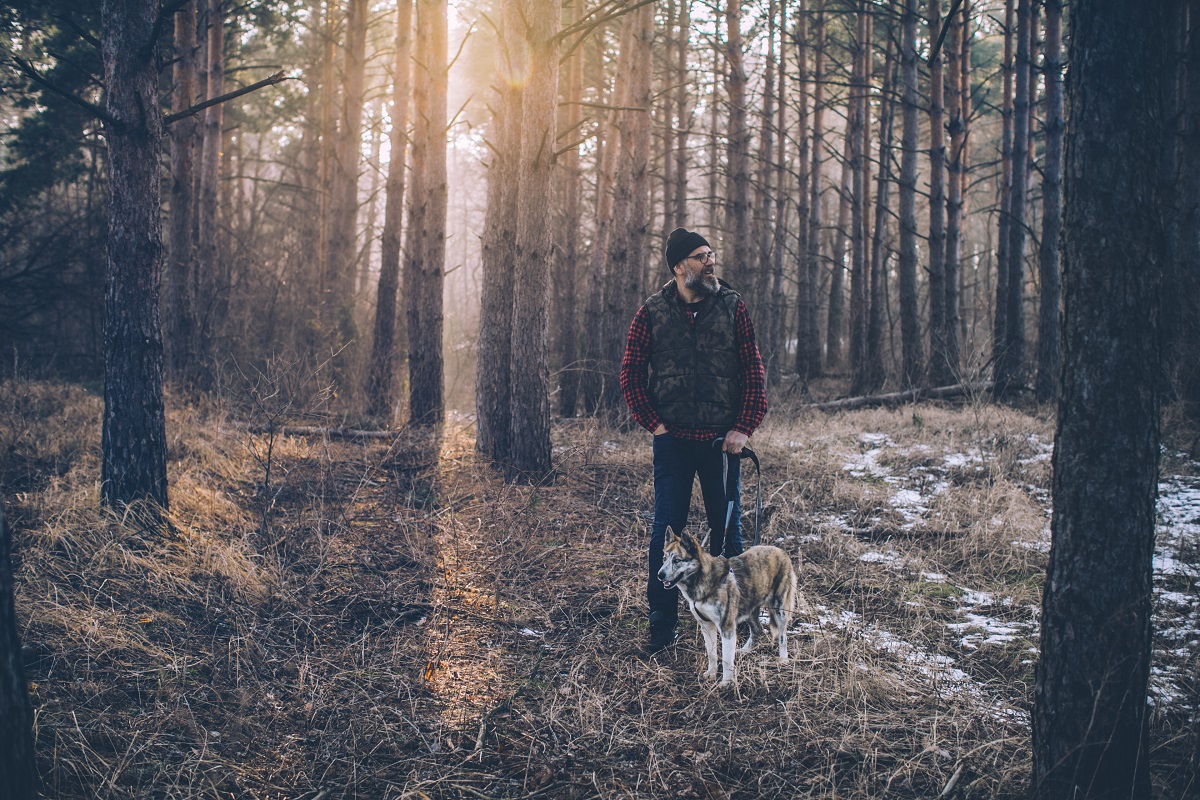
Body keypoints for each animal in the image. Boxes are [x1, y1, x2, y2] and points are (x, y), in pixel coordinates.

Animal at [657, 527, 796, 686]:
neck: (703, 580)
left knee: (783, 636)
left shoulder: (726, 627)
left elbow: (727, 659)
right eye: (664, 559)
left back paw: (783, 660)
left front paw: (726, 683)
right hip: (749, 608)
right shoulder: (706, 625)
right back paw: (745, 650)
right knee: (757, 629)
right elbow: (712, 654)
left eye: (677, 560)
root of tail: (781, 551)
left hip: (779, 608)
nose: (659, 575)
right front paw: (711, 674)